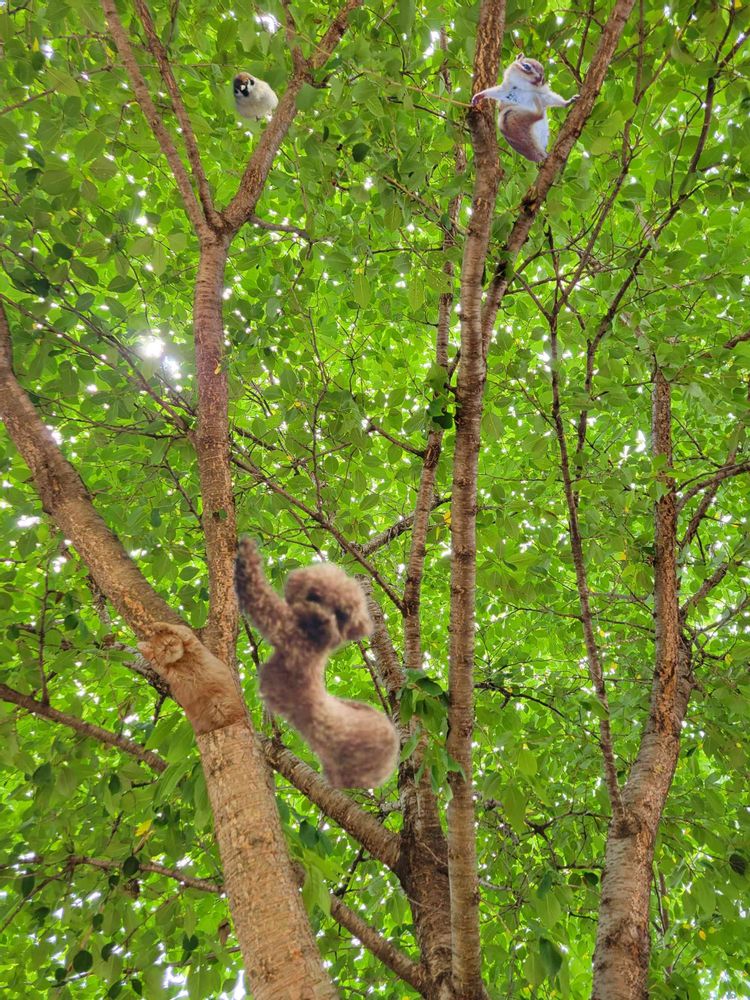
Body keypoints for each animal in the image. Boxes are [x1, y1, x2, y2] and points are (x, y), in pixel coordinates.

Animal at [234, 538, 399, 789]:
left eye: (341, 614)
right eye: (313, 596)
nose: (321, 620)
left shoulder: (285, 630)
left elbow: (258, 596)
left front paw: (247, 552)